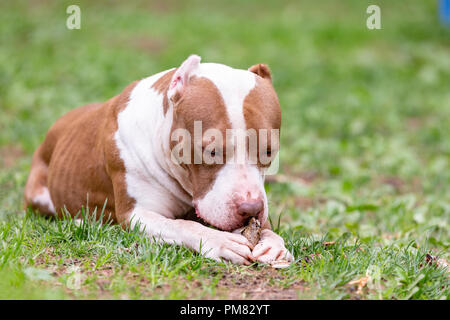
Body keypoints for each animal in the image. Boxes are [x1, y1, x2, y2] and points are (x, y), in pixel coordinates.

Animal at [24, 54, 294, 264]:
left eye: (269, 151)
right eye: (211, 151)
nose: (251, 208)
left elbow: (267, 228)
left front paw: (274, 244)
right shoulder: (137, 214)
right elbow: (182, 225)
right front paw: (218, 240)